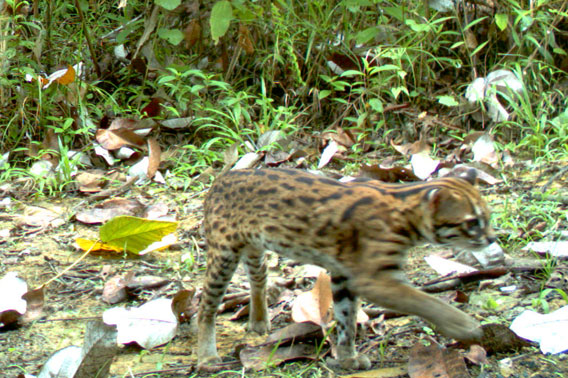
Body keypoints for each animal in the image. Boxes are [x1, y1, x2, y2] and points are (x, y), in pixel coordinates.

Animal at [197, 168, 494, 370]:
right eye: (472, 222)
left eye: (487, 217)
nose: (492, 239)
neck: (405, 207)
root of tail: (221, 178)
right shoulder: (373, 279)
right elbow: (425, 301)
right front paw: (464, 326)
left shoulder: (345, 276)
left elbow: (346, 318)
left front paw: (347, 358)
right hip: (223, 255)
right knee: (205, 305)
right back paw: (207, 355)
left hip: (253, 247)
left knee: (258, 277)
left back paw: (258, 321)